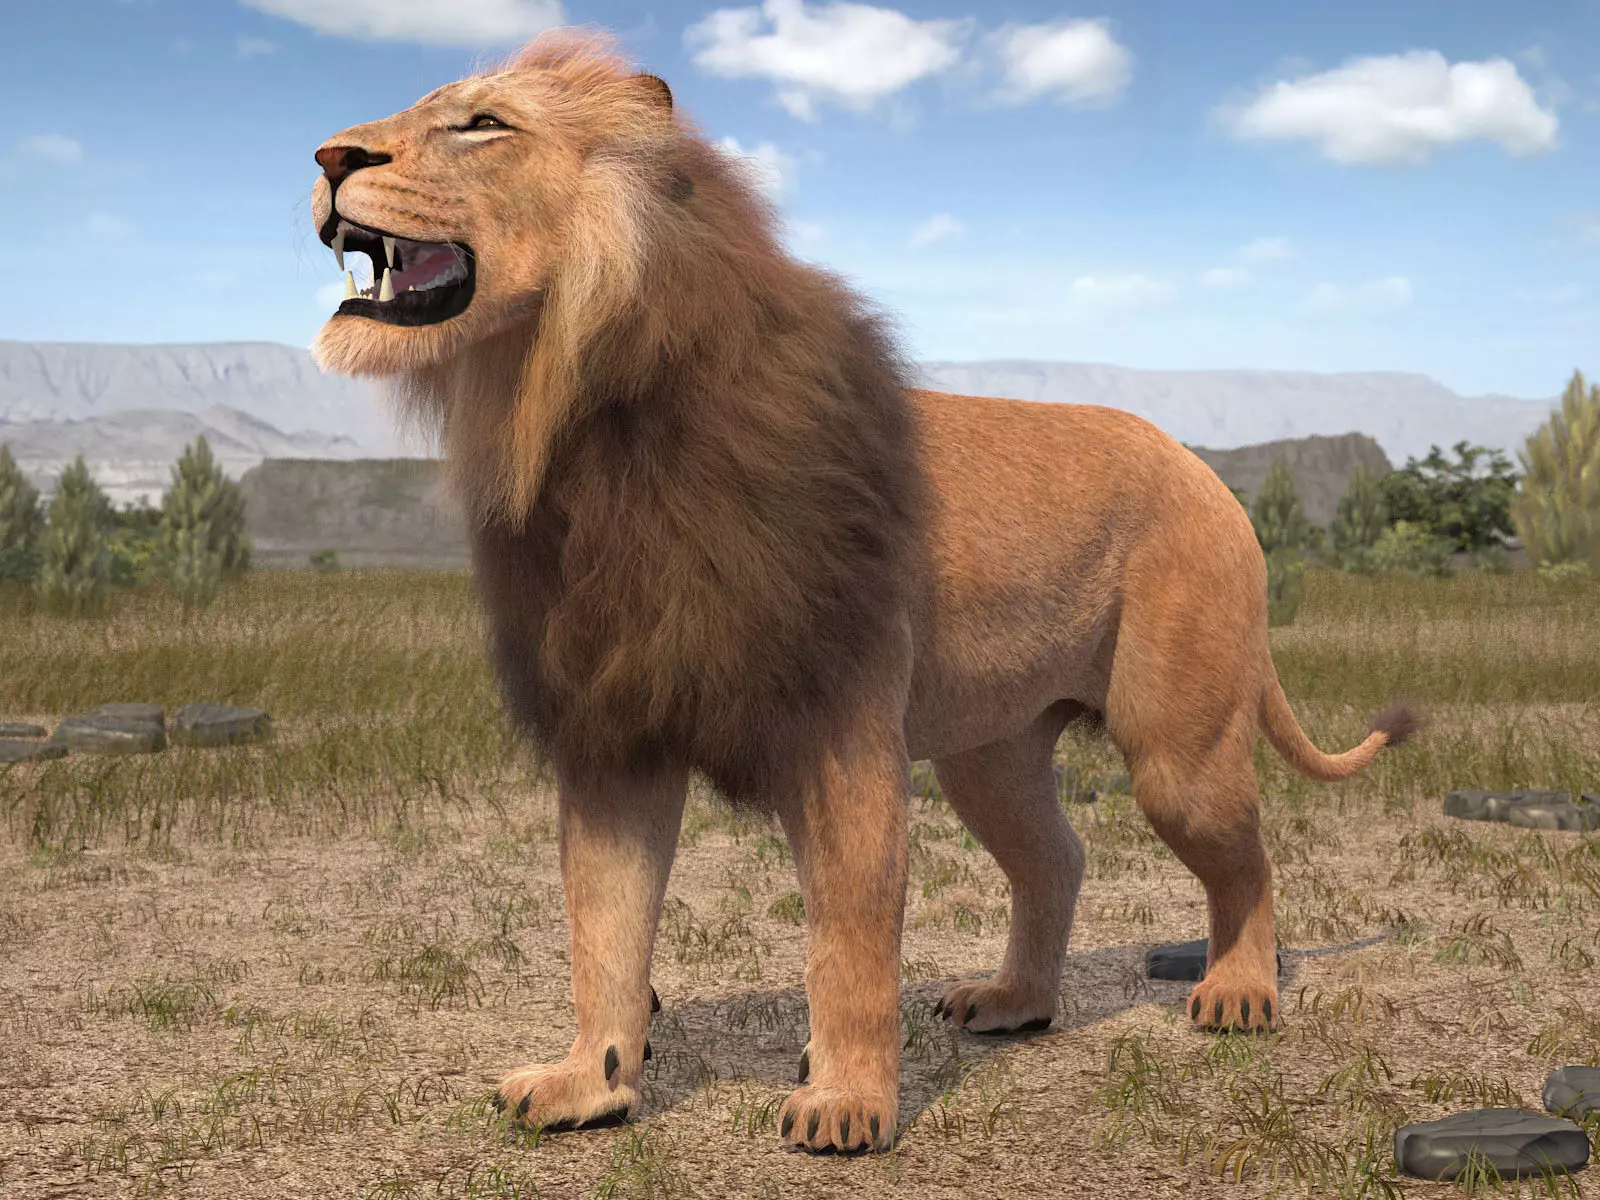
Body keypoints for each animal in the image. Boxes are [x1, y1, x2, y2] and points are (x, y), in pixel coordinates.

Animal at [309, 29, 1419, 1154]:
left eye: (482, 124)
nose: (327, 158)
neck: (584, 427)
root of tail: (1205, 473)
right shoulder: (614, 730)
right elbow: (604, 924)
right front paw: (591, 1081)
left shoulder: (841, 730)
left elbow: (846, 933)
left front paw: (845, 1104)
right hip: (990, 752)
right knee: (1057, 858)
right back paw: (1014, 1001)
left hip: (1177, 747)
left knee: (1249, 860)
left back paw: (1239, 993)